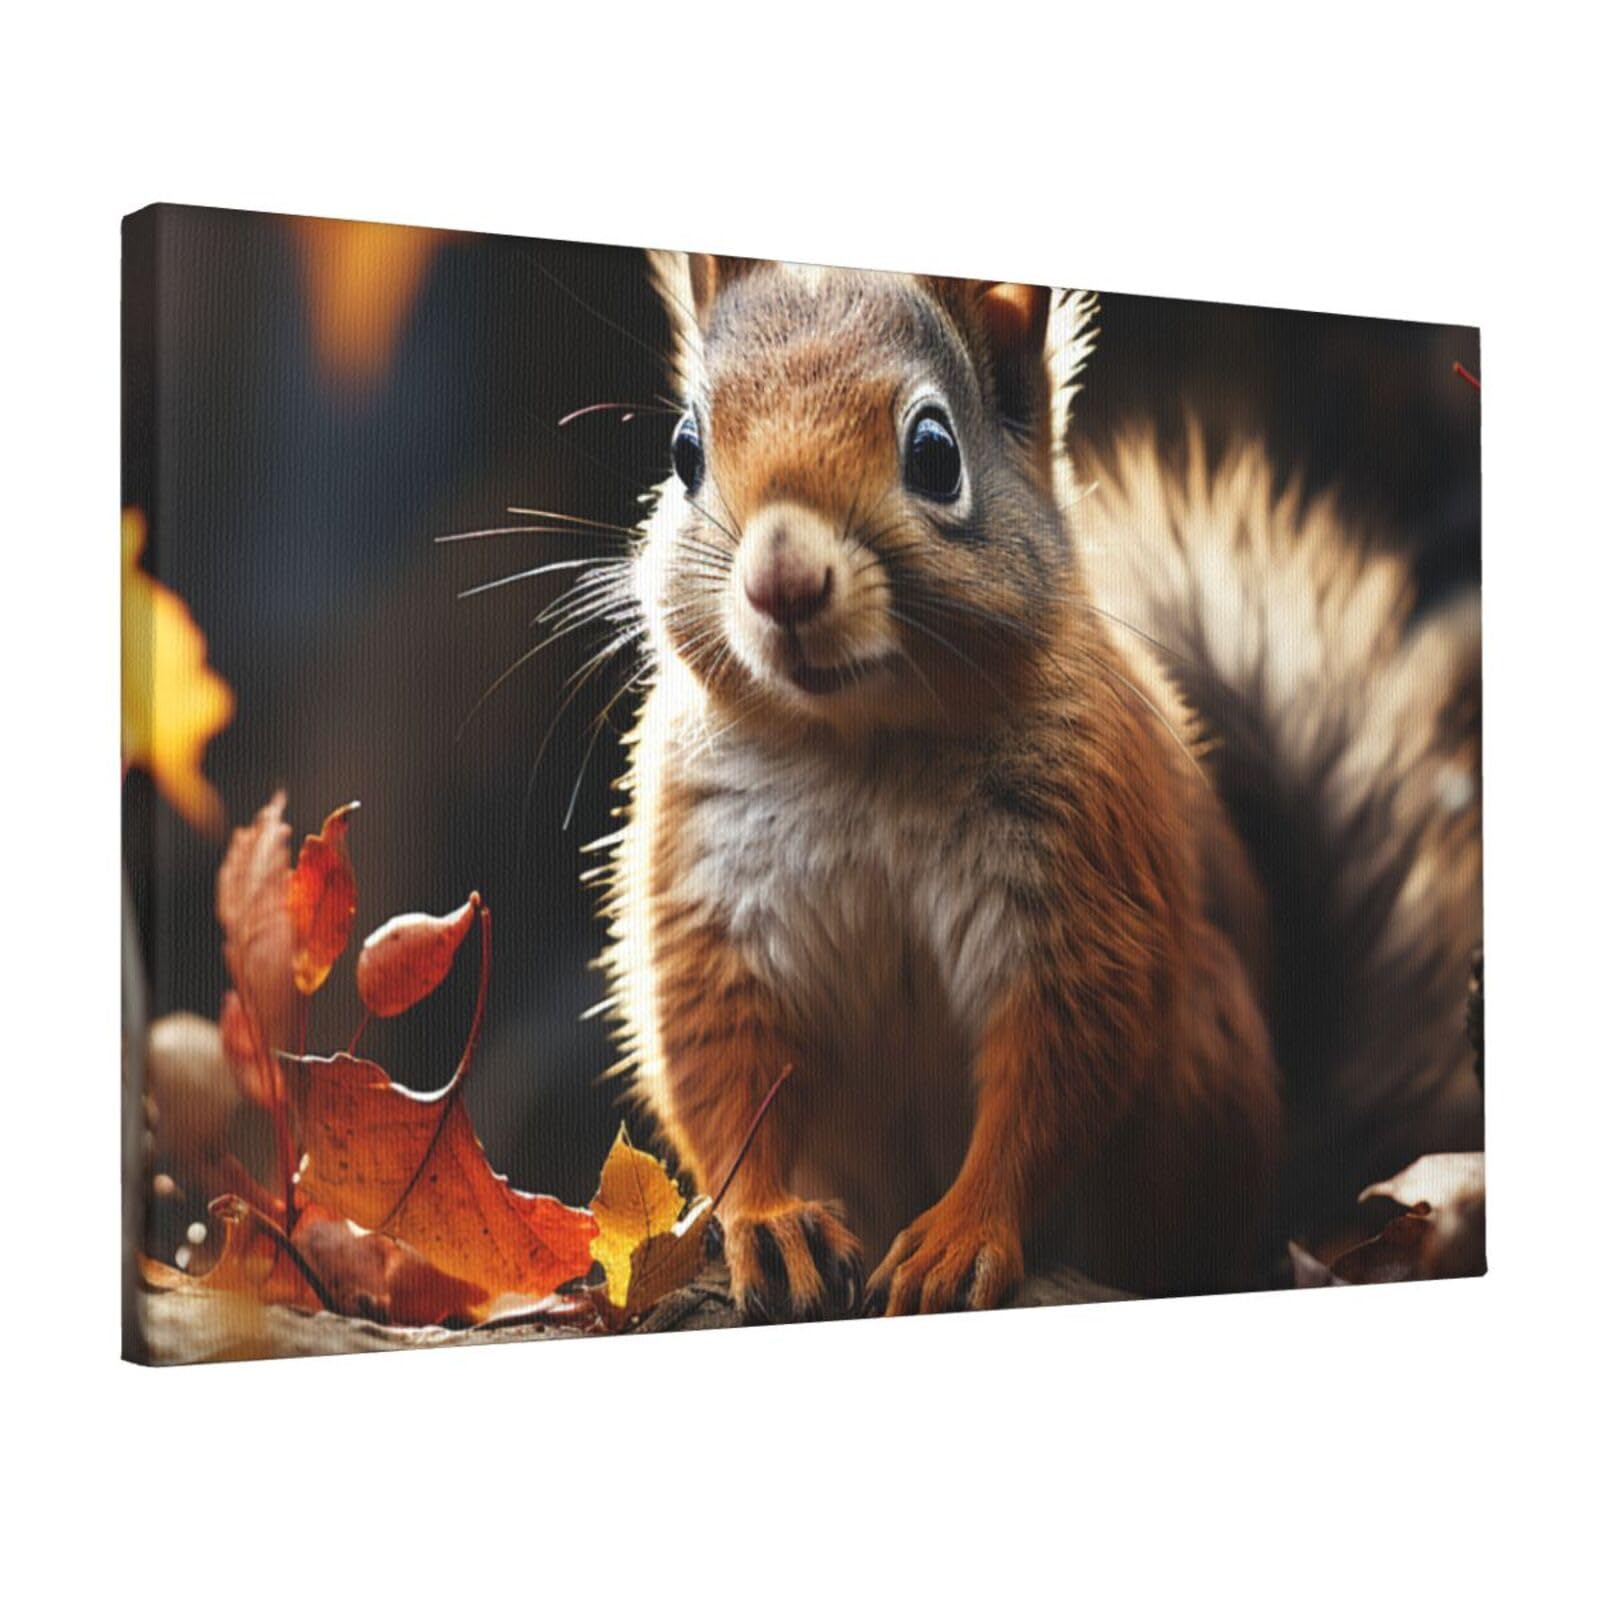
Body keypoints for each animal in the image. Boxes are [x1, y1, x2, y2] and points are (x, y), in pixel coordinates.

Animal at [594, 253, 1483, 1318]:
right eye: (684, 449)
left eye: (936, 453)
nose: (782, 584)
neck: (866, 747)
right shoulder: (711, 891)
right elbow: (723, 1069)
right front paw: (770, 1221)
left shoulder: (1080, 877)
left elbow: (1055, 1071)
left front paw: (963, 1233)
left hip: (1203, 1063)